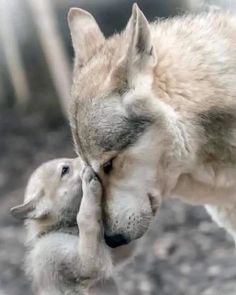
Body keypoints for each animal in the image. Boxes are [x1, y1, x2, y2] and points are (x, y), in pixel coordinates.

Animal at [10, 160, 133, 295]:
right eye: (65, 169)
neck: (58, 228)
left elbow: (124, 249)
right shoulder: (53, 251)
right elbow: (90, 264)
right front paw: (89, 182)